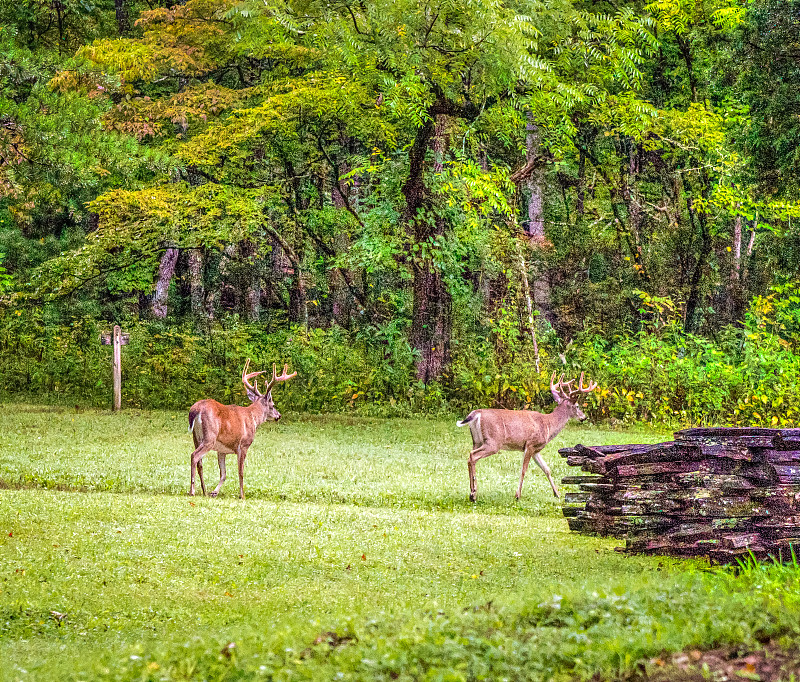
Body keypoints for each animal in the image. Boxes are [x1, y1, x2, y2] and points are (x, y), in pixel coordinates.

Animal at [188, 358, 296, 496]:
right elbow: (241, 472)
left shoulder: (221, 450)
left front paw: (214, 492)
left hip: (196, 437)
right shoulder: (244, 445)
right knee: (194, 456)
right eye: (272, 405)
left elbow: (223, 474)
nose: (279, 415)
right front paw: (242, 495)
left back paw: (204, 490)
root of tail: (195, 410)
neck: (253, 417)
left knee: (200, 463)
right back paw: (192, 490)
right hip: (209, 438)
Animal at [460, 372, 596, 500]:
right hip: (493, 442)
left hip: (477, 440)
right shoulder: (530, 444)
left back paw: (471, 492)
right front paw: (517, 495)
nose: (584, 417)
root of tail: (476, 413)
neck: (548, 425)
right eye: (577, 406)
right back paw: (473, 494)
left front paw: (557, 494)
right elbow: (523, 470)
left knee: (470, 457)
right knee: (473, 456)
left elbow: (547, 469)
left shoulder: (536, 449)